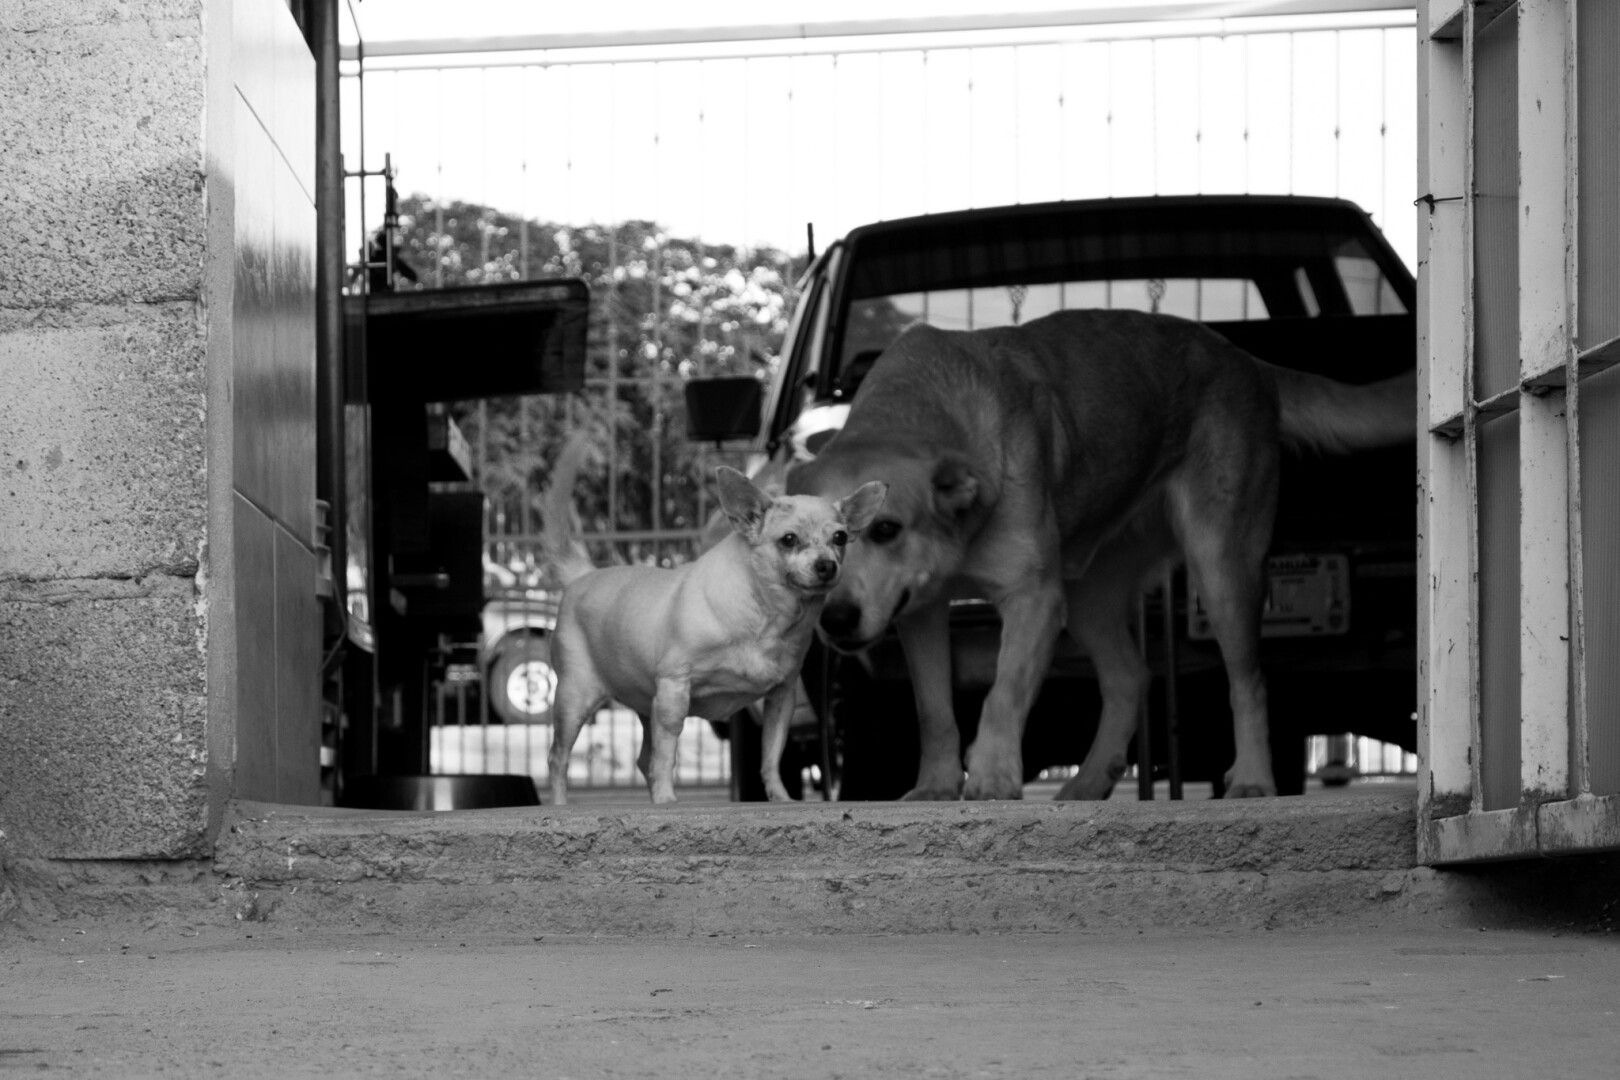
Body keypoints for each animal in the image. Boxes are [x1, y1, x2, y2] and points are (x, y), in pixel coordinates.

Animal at [547, 466, 887, 803]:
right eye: (788, 539)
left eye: (840, 538)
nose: (826, 565)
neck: (769, 614)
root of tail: (583, 575)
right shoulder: (674, 689)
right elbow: (667, 753)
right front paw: (667, 798)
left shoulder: (782, 697)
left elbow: (771, 756)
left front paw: (780, 797)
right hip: (575, 698)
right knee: (559, 757)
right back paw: (562, 804)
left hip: (644, 703)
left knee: (644, 759)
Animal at [790, 307, 1412, 799]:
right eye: (799, 538)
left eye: (884, 529)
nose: (835, 619)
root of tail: (1247, 361)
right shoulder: (918, 612)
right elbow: (935, 712)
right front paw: (937, 786)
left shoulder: (1034, 599)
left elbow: (1000, 694)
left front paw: (991, 776)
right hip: (1090, 595)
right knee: (1129, 678)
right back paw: (1090, 781)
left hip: (1221, 569)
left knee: (1248, 682)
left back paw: (1254, 778)